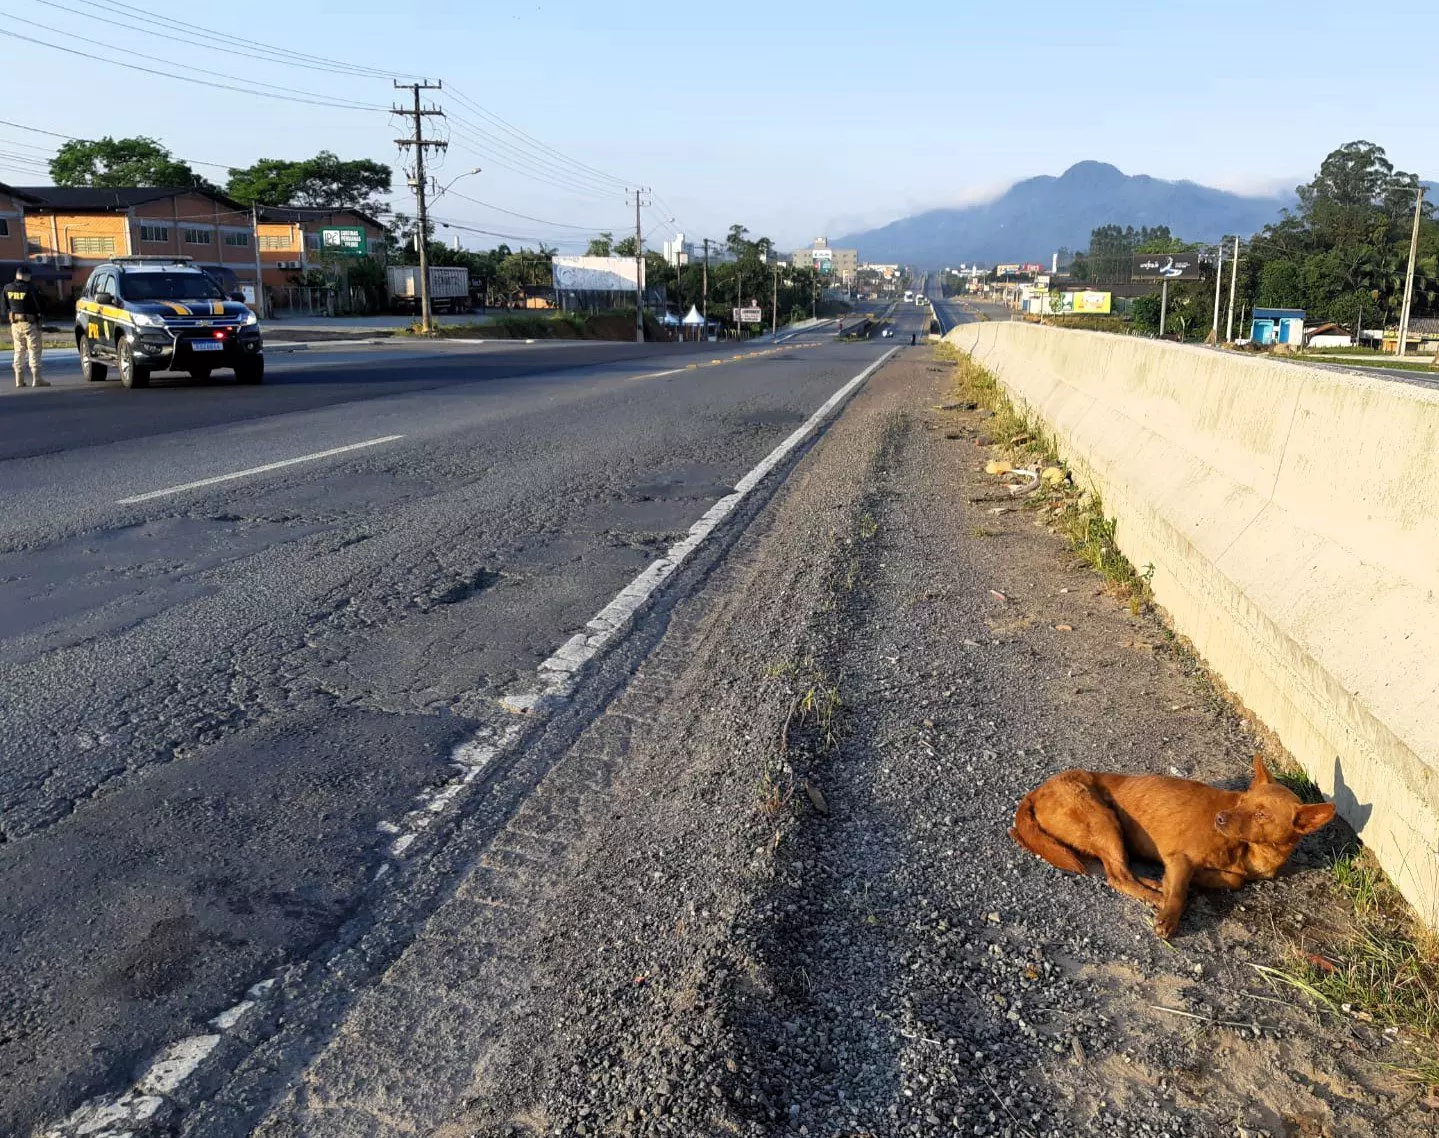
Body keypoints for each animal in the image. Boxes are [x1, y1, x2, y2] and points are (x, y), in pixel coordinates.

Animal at [1013, 753, 1335, 932]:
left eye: (1261, 814)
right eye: (1243, 801)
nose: (1220, 818)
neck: (1251, 852)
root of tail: (1036, 792)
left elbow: (1233, 880)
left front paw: (1193, 881)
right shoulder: (1181, 857)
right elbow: (1181, 890)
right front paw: (1169, 914)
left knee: (1123, 871)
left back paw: (1155, 885)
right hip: (1104, 820)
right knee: (1117, 876)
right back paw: (1156, 896)